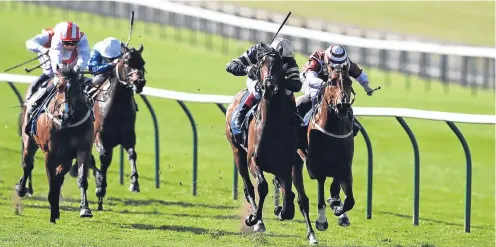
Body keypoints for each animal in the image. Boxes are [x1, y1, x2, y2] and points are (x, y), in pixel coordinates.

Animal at [17, 64, 95, 223]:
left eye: (76, 88)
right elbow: (51, 180)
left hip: (66, 158)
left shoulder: (83, 149)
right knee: (28, 165)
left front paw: (85, 208)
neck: (66, 126)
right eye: (58, 87)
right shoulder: (50, 154)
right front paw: (53, 212)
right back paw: (21, 189)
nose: (64, 115)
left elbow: (81, 178)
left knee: (60, 176)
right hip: (29, 143)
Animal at [69, 42, 147, 210]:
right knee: (91, 160)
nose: (139, 82)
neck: (117, 107)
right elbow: (103, 159)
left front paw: (134, 183)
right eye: (127, 62)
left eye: (142, 63)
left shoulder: (128, 136)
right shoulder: (99, 137)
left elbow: (132, 154)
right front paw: (100, 188)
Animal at [226, 43, 318, 244]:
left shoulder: (287, 164)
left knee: (296, 195)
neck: (272, 125)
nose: (268, 86)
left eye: (280, 65)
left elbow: (290, 195)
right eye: (261, 62)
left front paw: (282, 211)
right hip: (237, 152)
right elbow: (262, 187)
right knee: (249, 188)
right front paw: (254, 219)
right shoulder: (253, 160)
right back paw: (257, 219)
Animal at [296, 61, 354, 230]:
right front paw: (321, 220)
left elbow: (348, 199)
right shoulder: (316, 166)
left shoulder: (345, 166)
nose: (342, 106)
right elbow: (322, 188)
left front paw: (338, 208)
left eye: (349, 82)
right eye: (331, 82)